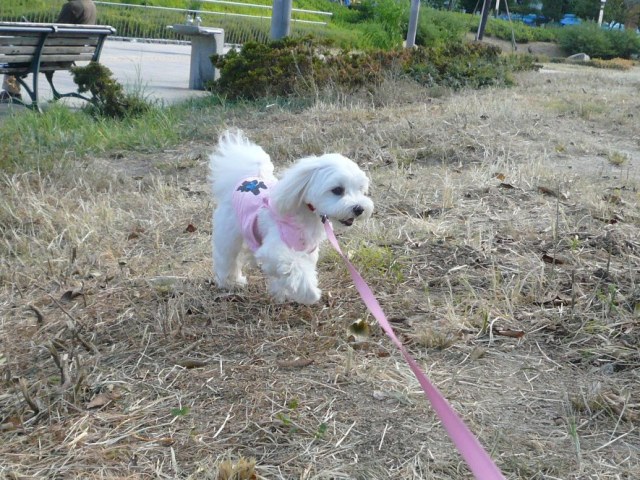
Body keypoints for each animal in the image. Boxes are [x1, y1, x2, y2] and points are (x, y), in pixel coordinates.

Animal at [209, 130, 374, 304]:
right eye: (337, 190)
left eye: (360, 189)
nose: (359, 208)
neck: (307, 214)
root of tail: (245, 179)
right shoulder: (275, 250)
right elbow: (294, 267)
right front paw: (310, 293)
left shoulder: (308, 251)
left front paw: (285, 291)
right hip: (228, 234)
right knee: (226, 258)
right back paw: (231, 282)